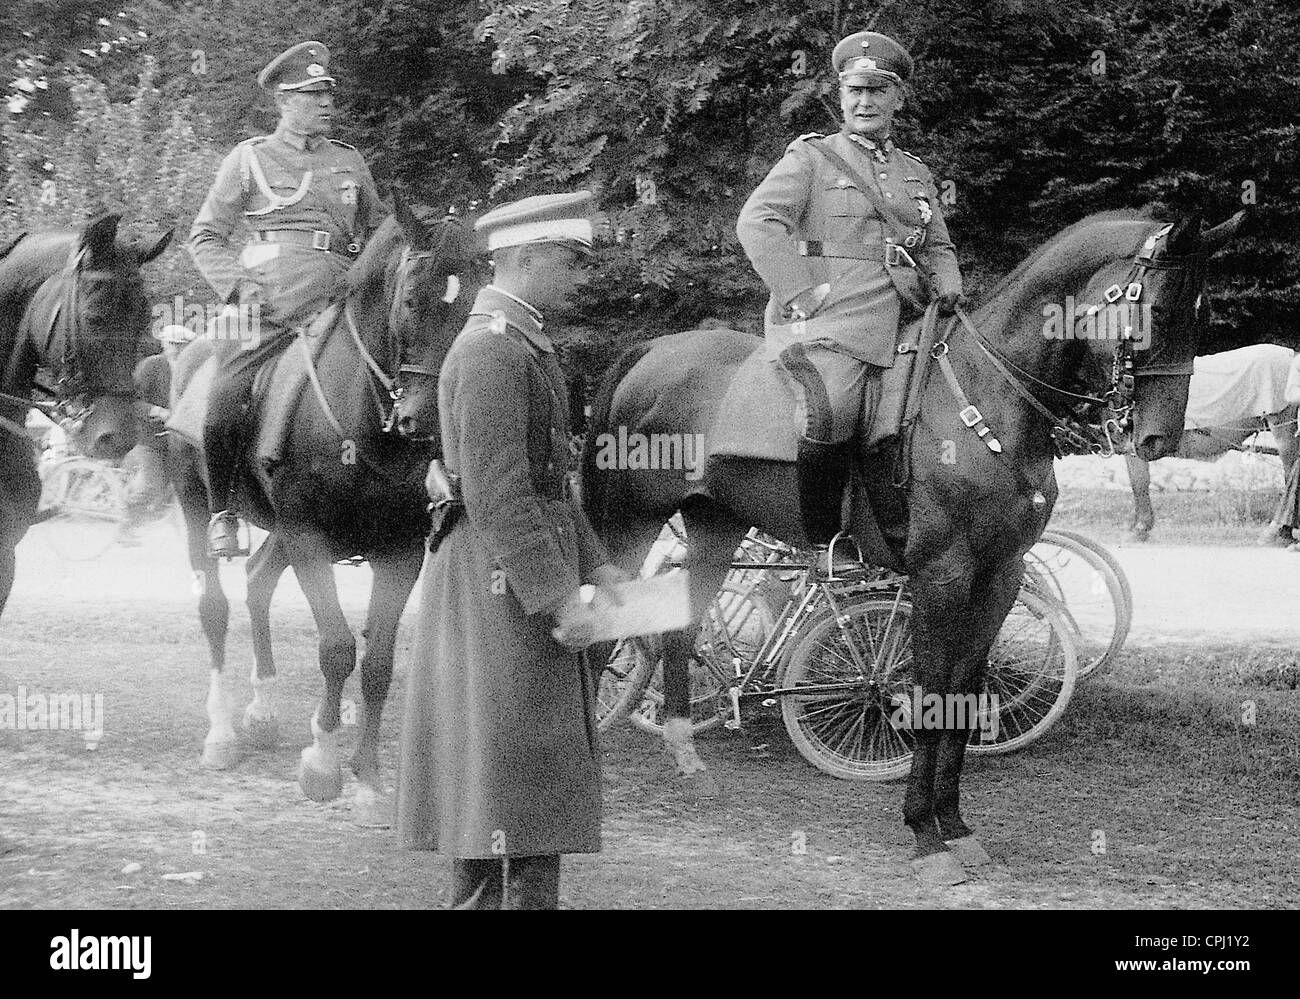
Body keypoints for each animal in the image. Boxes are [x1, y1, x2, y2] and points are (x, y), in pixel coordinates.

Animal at [167, 206, 480, 822]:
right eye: (413, 299)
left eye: (474, 300)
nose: (428, 419)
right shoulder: (308, 536)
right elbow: (336, 650)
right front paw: (324, 764)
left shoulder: (400, 551)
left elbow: (378, 662)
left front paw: (369, 780)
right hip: (198, 507)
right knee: (215, 606)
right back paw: (222, 734)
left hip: (278, 531)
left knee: (258, 581)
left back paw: (263, 711)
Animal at [577, 210, 1237, 884]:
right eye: (1158, 307)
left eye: (1203, 311)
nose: (1160, 437)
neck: (986, 399)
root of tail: (654, 350)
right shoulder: (939, 576)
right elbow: (931, 692)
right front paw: (924, 833)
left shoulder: (998, 576)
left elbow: (965, 692)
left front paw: (956, 827)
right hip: (629, 521)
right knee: (600, 628)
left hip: (715, 524)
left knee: (678, 629)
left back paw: (687, 756)